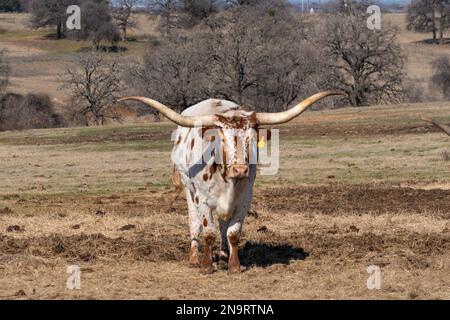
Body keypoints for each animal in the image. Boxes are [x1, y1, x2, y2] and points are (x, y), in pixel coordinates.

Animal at [118, 91, 342, 274]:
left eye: (252, 137)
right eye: (222, 137)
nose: (240, 169)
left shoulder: (244, 199)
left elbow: (233, 232)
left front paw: (233, 265)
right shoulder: (203, 199)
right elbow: (208, 232)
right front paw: (206, 265)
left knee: (223, 225)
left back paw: (224, 256)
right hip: (189, 191)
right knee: (194, 223)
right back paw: (194, 257)